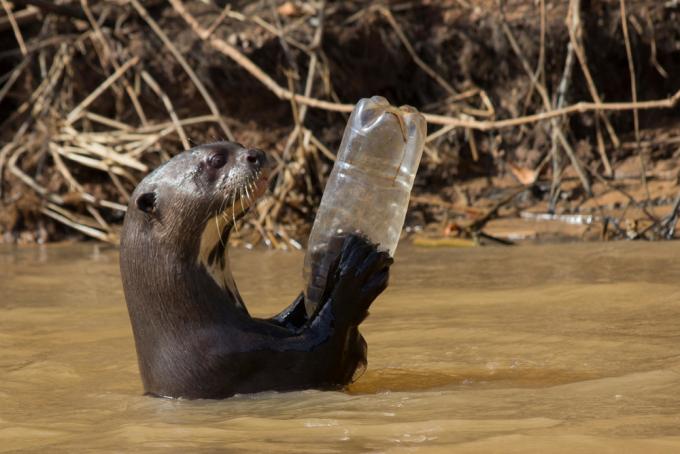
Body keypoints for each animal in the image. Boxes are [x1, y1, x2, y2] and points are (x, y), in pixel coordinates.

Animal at [119, 141, 390, 398]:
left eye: (237, 145)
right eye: (216, 160)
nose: (256, 153)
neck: (194, 325)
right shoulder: (244, 360)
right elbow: (326, 353)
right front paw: (355, 272)